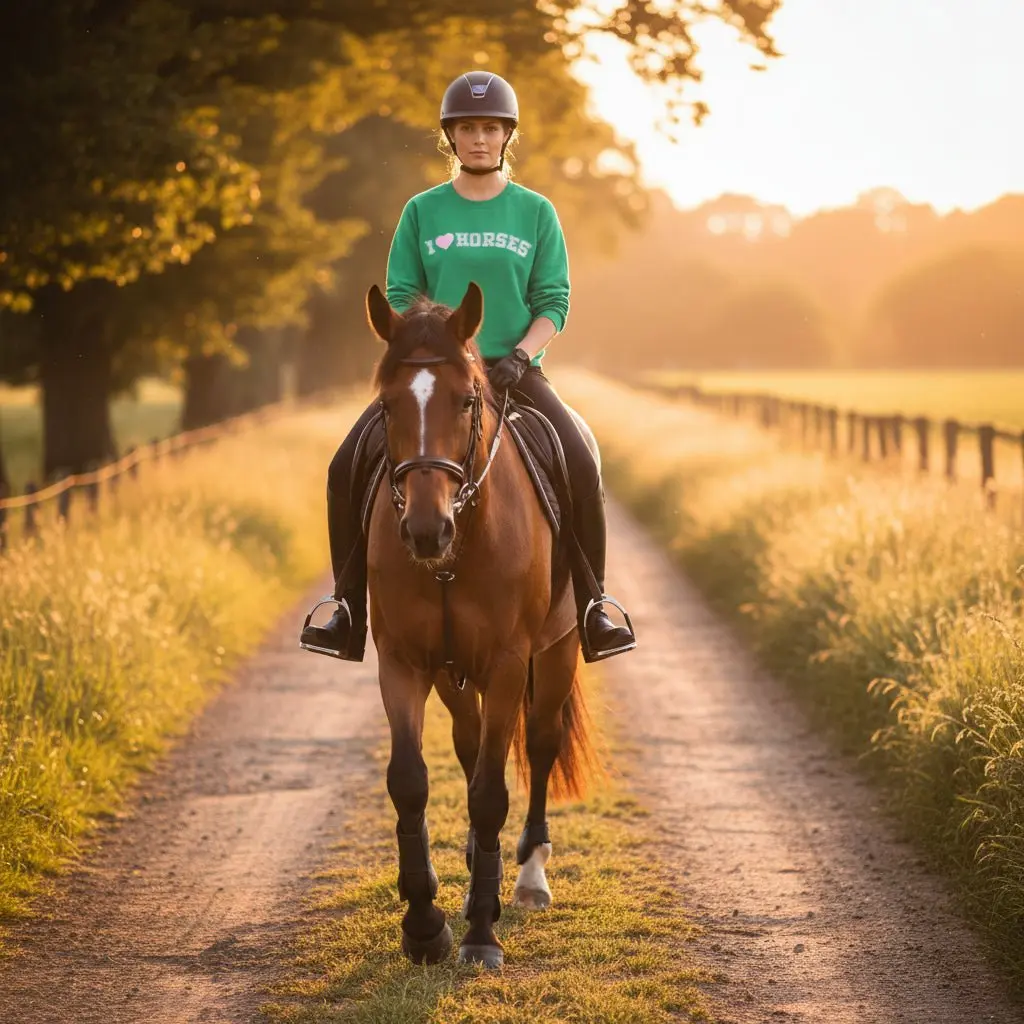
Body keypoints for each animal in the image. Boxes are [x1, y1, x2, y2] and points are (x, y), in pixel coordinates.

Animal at [363, 280, 595, 968]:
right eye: (386, 405)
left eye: (466, 400)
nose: (425, 530)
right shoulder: (403, 661)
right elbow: (410, 782)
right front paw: (424, 925)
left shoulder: (508, 663)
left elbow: (493, 789)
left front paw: (479, 935)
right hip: (451, 673)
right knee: (468, 746)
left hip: (557, 649)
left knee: (540, 744)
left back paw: (528, 877)